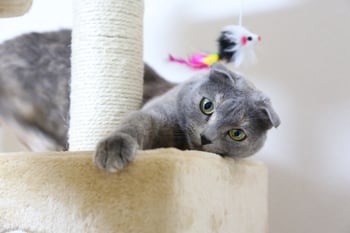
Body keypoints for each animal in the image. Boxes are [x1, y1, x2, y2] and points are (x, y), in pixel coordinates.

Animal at [0, 29, 278, 172]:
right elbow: (134, 125)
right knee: (12, 116)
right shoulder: (153, 113)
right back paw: (46, 145)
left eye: (237, 134)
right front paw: (113, 148)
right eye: (207, 105)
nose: (206, 137)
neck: (179, 144)